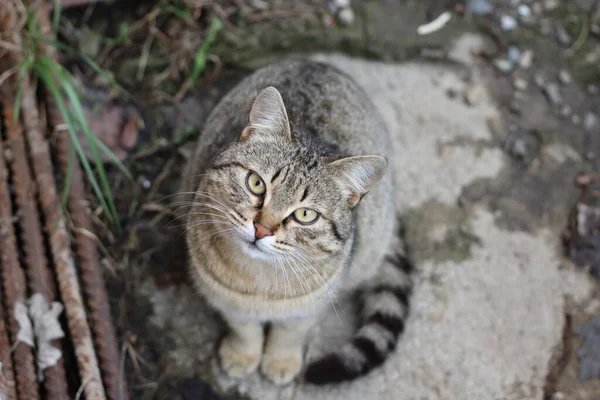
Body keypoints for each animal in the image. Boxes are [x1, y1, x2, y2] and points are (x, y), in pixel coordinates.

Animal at [179, 58, 412, 384]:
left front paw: (280, 360)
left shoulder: (314, 304)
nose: (262, 228)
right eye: (256, 183)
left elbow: (289, 333)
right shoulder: (224, 299)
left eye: (305, 215)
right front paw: (243, 354)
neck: (260, 281)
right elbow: (243, 328)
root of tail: (317, 62)